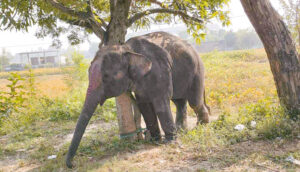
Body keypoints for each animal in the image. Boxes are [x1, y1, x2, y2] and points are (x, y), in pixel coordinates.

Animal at [65, 31, 209, 167]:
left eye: (106, 77)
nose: (73, 164)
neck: (126, 49)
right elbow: (144, 105)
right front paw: (155, 140)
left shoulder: (159, 70)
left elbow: (160, 103)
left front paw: (169, 142)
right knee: (179, 102)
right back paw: (182, 130)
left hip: (197, 70)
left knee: (194, 102)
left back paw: (201, 127)